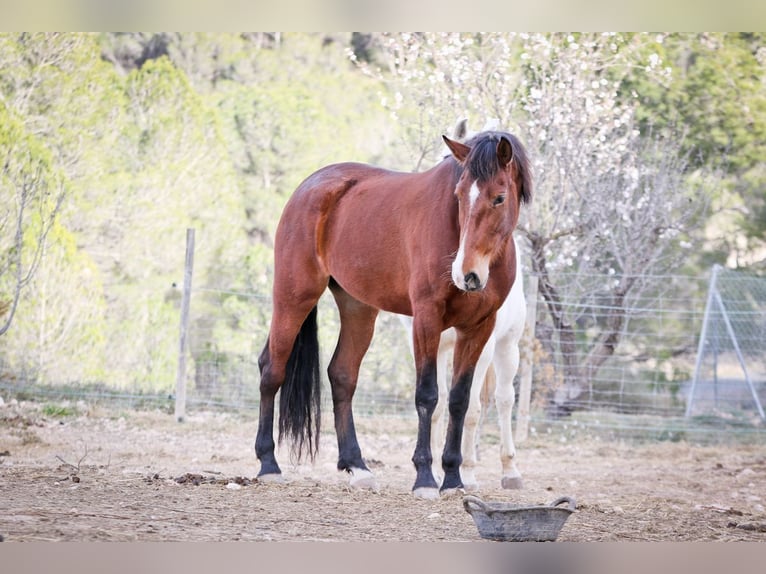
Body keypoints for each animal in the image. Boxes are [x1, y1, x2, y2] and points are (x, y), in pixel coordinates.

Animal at [402, 236, 528, 492]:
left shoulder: (481, 347)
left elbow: (470, 408)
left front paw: (466, 474)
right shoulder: (432, 346)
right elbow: (438, 404)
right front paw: (433, 473)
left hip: (508, 347)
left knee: (504, 400)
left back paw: (510, 471)